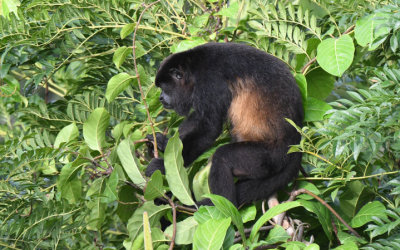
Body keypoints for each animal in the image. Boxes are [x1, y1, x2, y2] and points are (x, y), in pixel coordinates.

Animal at [145, 43, 304, 207]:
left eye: (164, 87)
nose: (160, 97)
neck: (193, 69)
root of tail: (295, 143)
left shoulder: (210, 81)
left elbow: (208, 128)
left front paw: (162, 165)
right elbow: (197, 119)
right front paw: (164, 143)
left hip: (271, 157)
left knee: (223, 157)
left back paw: (218, 205)